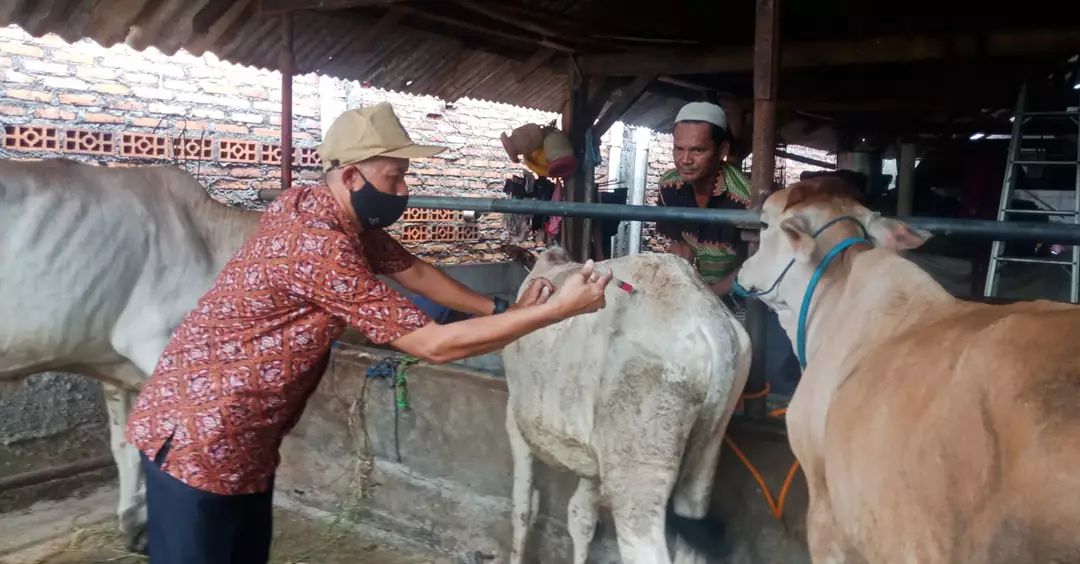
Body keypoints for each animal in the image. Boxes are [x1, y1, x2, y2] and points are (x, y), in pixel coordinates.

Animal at [498, 248, 747, 557]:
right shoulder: (591, 453)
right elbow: (581, 518)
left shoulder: (515, 418)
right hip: (706, 452)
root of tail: (709, 323)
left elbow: (522, 507)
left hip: (637, 470)